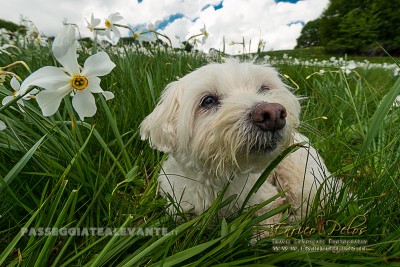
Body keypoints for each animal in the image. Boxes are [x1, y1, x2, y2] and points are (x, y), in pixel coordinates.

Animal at [141, 60, 334, 226]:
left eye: (264, 88)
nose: (273, 114)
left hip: (298, 179)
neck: (220, 179)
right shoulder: (179, 208)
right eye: (208, 100)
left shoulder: (266, 200)